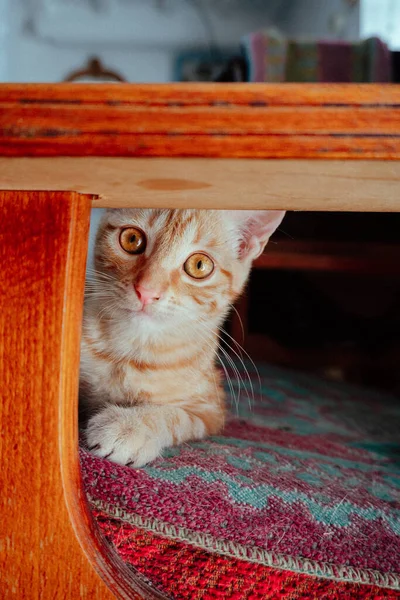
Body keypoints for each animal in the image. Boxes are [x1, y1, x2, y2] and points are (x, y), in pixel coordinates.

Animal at [80, 209, 284, 466]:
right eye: (132, 239)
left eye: (199, 265)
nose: (146, 291)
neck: (132, 348)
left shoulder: (210, 410)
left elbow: (173, 416)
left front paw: (129, 427)